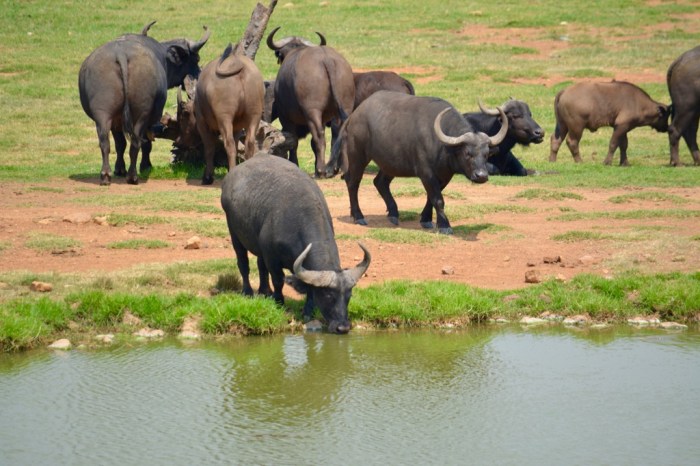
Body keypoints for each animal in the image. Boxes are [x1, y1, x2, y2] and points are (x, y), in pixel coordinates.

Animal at [79, 23, 210, 185]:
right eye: (196, 59)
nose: (199, 74)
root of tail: (121, 55)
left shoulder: (116, 120)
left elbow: (120, 143)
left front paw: (119, 168)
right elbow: (146, 143)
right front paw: (146, 166)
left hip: (103, 113)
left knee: (105, 141)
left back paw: (106, 175)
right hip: (141, 114)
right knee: (136, 142)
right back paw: (132, 176)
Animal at [196, 43, 265, 184]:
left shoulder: (201, 122)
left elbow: (209, 148)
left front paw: (207, 176)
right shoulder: (237, 127)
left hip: (224, 117)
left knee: (229, 143)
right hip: (254, 115)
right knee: (250, 143)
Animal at [221, 153, 371, 334]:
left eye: (349, 295)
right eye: (328, 295)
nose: (343, 327)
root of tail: (230, 177)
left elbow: (309, 289)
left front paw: (308, 310)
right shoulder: (272, 257)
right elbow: (278, 279)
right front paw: (279, 302)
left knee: (260, 266)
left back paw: (265, 291)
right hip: (234, 232)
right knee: (243, 264)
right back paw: (248, 291)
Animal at [266, 27, 355, 177]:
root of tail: (326, 60)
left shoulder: (286, 118)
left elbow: (294, 140)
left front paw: (294, 163)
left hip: (312, 111)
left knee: (319, 136)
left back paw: (321, 170)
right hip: (343, 108)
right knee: (340, 132)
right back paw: (341, 168)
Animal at [333, 91, 508, 234]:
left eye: (486, 154)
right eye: (467, 154)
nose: (481, 176)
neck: (442, 146)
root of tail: (354, 115)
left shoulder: (444, 175)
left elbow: (431, 197)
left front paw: (426, 220)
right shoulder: (426, 174)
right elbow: (438, 199)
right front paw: (444, 226)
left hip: (390, 162)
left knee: (380, 182)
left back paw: (393, 214)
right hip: (358, 156)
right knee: (353, 182)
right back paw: (358, 216)